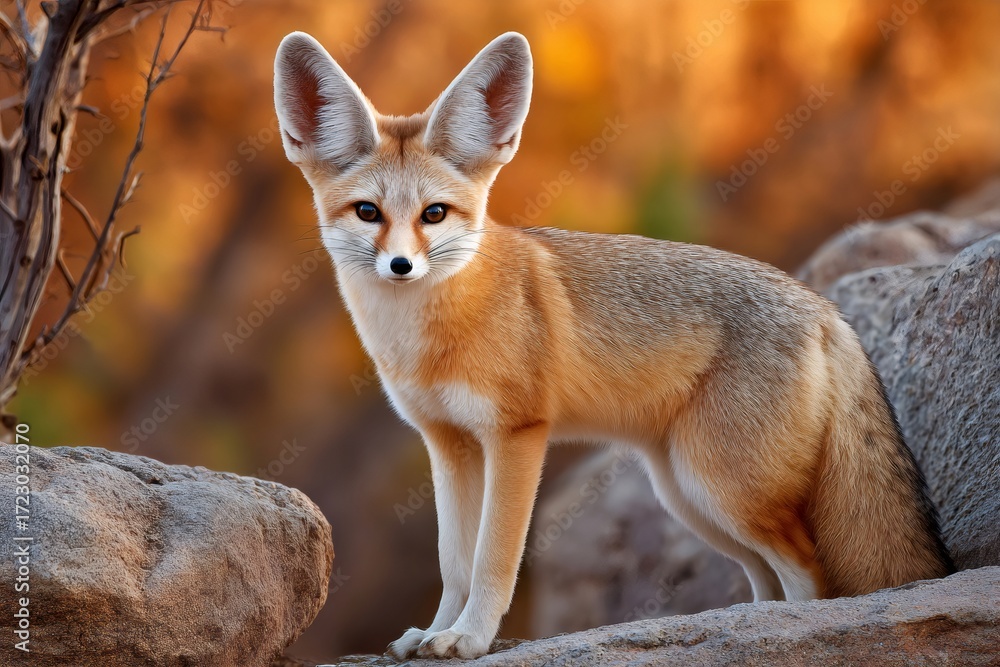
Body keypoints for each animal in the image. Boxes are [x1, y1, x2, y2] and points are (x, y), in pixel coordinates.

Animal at [273, 31, 953, 659]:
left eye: (434, 215)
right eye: (368, 212)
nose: (401, 266)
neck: (432, 334)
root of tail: (821, 304)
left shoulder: (518, 436)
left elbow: (492, 560)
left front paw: (469, 639)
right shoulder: (449, 445)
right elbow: (453, 564)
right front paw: (436, 633)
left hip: (723, 490)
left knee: (810, 577)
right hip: (689, 498)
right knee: (766, 583)